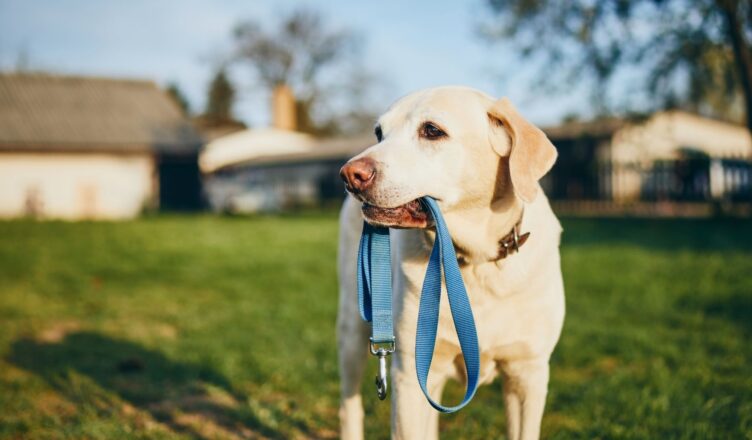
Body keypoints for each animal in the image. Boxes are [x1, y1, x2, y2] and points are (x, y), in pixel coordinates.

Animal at [336, 86, 564, 440]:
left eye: (432, 130)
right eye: (379, 133)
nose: (350, 175)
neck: (474, 263)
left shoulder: (527, 373)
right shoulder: (410, 374)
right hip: (353, 329)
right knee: (349, 405)